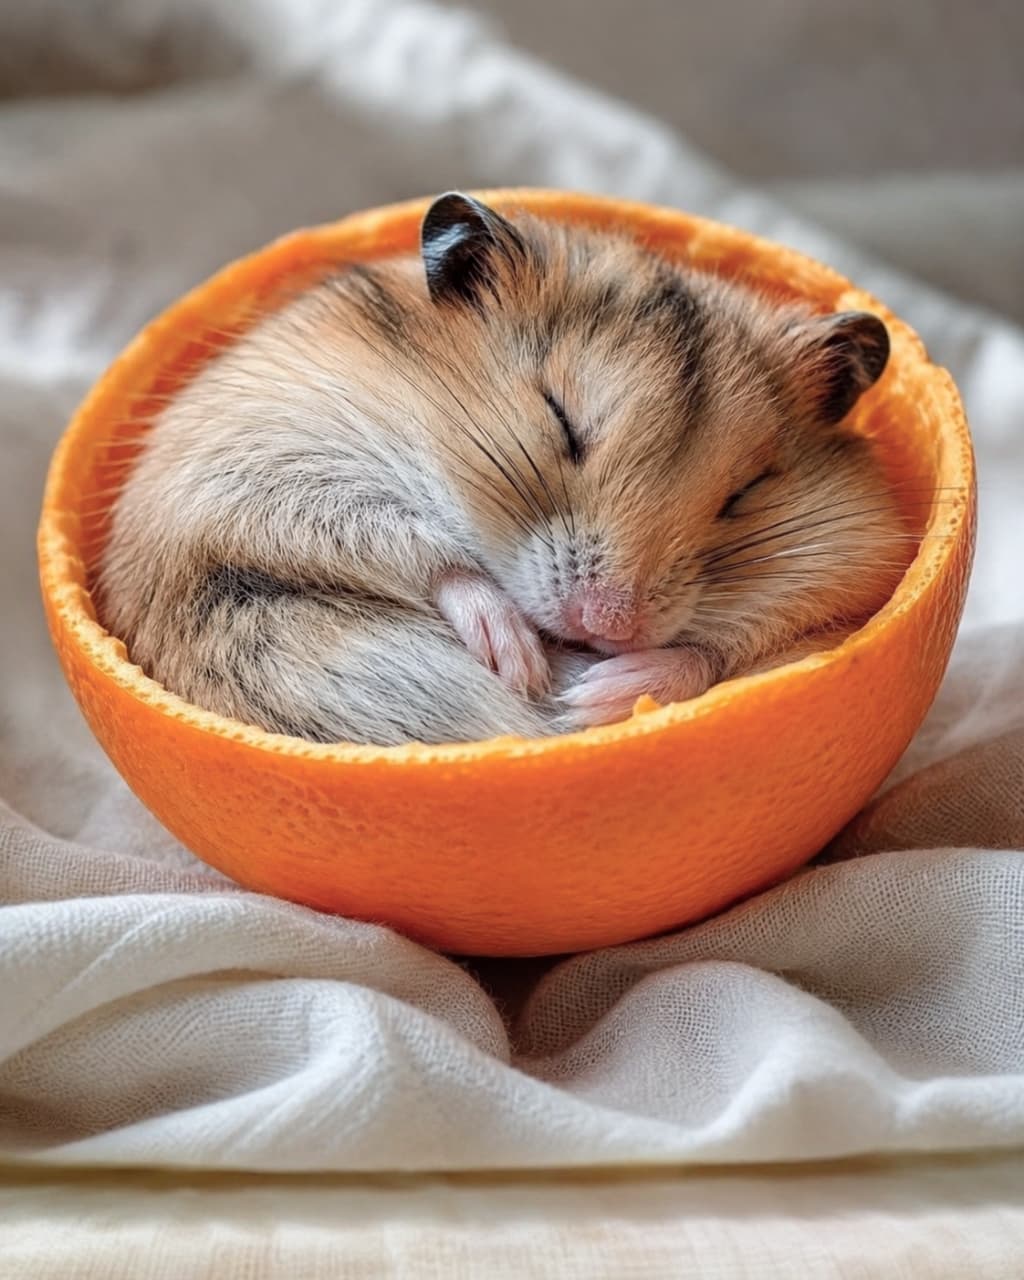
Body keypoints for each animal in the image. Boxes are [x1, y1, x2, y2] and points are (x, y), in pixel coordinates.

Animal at [97, 192, 906, 747]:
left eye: (746, 492)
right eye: (560, 420)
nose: (607, 628)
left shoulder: (855, 560)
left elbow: (720, 648)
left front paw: (597, 695)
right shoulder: (271, 462)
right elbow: (436, 559)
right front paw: (520, 663)